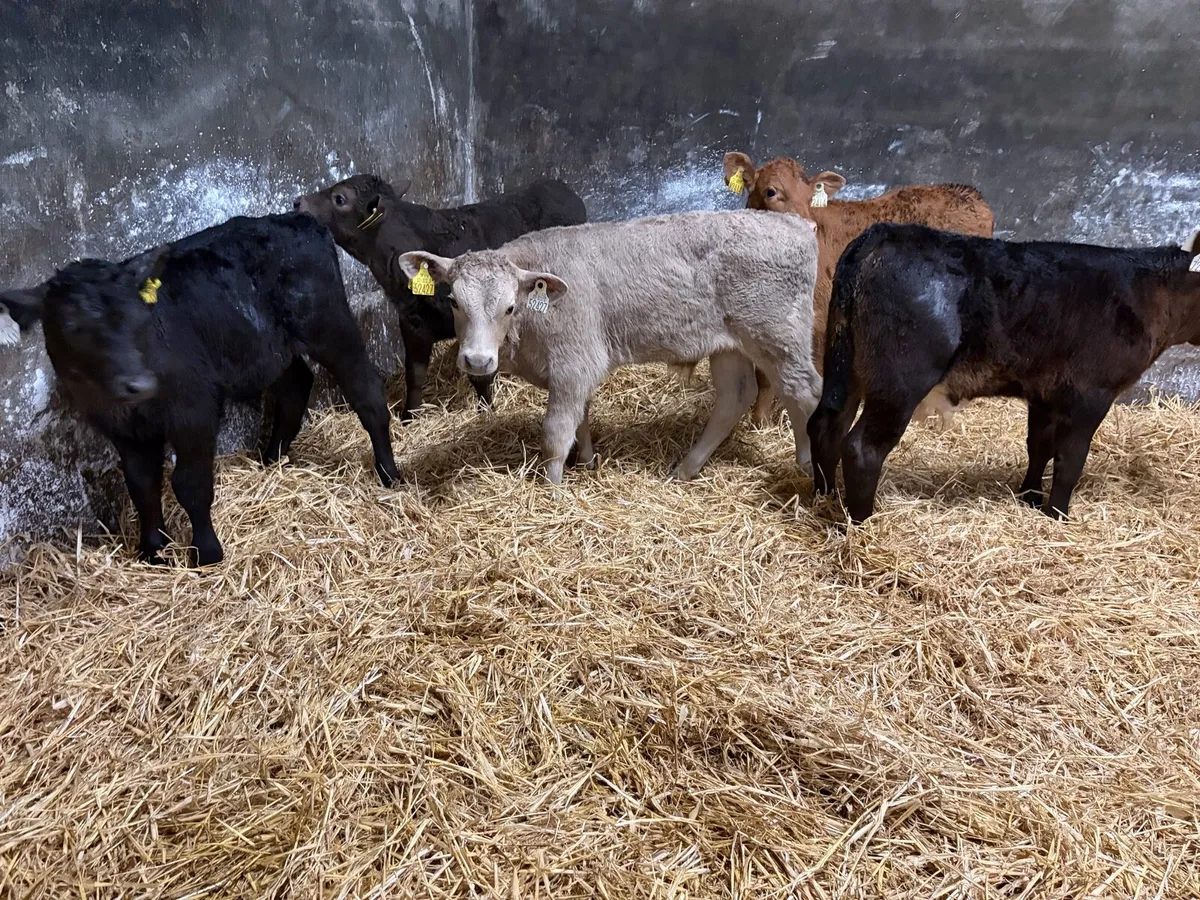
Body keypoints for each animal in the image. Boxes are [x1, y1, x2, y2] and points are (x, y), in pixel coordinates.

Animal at [0, 213, 401, 567]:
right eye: (73, 325)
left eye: (137, 314)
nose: (139, 383)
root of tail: (296, 219)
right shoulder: (123, 430)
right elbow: (142, 485)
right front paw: (153, 551)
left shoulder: (193, 408)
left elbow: (190, 483)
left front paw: (206, 553)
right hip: (268, 346)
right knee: (296, 383)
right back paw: (272, 459)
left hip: (327, 323)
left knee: (365, 391)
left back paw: (389, 473)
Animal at [294, 174, 588, 422]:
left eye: (339, 198)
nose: (298, 201)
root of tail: (561, 186)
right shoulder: (412, 323)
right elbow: (415, 375)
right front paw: (408, 416)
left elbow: (480, 375)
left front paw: (486, 411)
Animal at [395, 209, 822, 485]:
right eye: (454, 301)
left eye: (509, 307)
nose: (478, 360)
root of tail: (798, 224)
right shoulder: (575, 372)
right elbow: (581, 420)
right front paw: (586, 462)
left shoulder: (574, 363)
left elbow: (555, 434)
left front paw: (552, 490)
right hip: (730, 345)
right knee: (741, 396)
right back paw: (689, 468)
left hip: (778, 334)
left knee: (805, 391)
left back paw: (812, 469)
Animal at [722, 151, 995, 431]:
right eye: (771, 192)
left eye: (810, 197)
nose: (808, 227)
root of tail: (968, 193)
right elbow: (765, 379)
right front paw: (760, 422)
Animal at [807, 222, 1200, 523]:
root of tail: (884, 232)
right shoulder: (1091, 393)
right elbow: (1070, 459)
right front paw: (1057, 514)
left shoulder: (1045, 393)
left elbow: (1039, 446)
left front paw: (1030, 497)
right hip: (899, 380)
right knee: (862, 446)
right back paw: (862, 521)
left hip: (845, 365)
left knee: (826, 423)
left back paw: (825, 497)